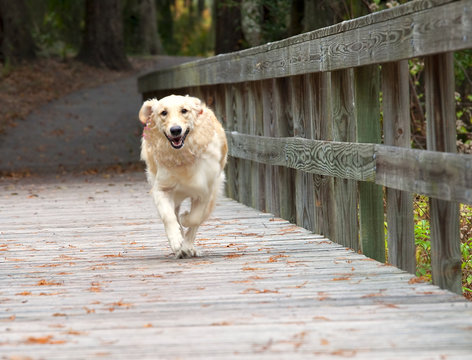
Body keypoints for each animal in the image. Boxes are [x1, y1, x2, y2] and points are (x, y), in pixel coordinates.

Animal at [138, 95, 227, 258]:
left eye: (184, 110)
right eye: (163, 112)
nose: (175, 130)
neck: (182, 156)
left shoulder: (205, 190)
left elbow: (195, 218)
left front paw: (186, 237)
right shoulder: (161, 189)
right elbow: (168, 216)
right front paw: (176, 241)